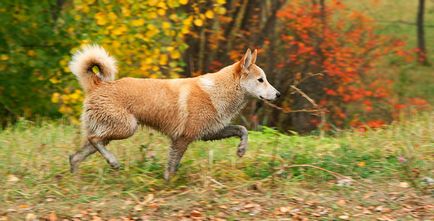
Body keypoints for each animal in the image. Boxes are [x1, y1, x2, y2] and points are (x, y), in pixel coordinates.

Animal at [66, 45, 280, 180]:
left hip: (112, 131)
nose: (278, 94)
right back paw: (112, 162)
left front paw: (241, 150)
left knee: (77, 155)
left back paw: (77, 181)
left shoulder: (210, 133)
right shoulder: (182, 139)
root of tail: (98, 84)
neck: (216, 91)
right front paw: (167, 185)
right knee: (94, 139)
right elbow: (172, 166)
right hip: (126, 128)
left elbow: (242, 130)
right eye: (261, 80)